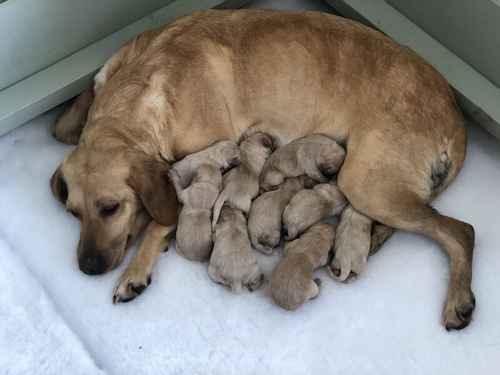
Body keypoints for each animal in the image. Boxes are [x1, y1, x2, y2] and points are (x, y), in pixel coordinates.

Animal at [51, 9, 476, 332]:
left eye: (111, 207)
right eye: (73, 213)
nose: (88, 269)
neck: (144, 92)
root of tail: (457, 120)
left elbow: (159, 219)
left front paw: (135, 271)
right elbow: (63, 124)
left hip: (366, 183)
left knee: (462, 231)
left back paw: (459, 301)